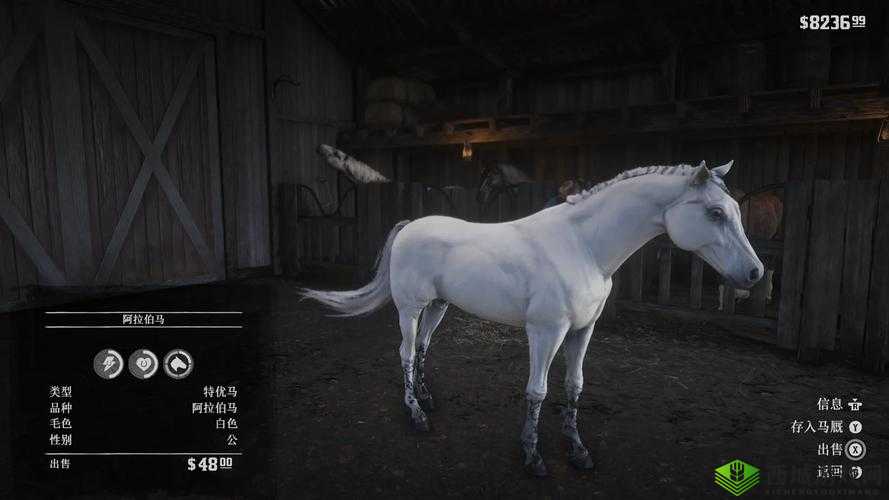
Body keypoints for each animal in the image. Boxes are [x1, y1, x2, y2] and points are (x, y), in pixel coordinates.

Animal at [300, 160, 763, 476]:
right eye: (715, 213)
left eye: (734, 209)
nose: (754, 273)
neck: (584, 246)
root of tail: (411, 224)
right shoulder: (546, 332)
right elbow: (537, 391)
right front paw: (532, 455)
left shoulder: (583, 331)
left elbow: (574, 386)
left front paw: (578, 451)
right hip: (411, 309)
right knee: (406, 353)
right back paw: (416, 415)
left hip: (438, 306)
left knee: (424, 348)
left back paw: (428, 398)